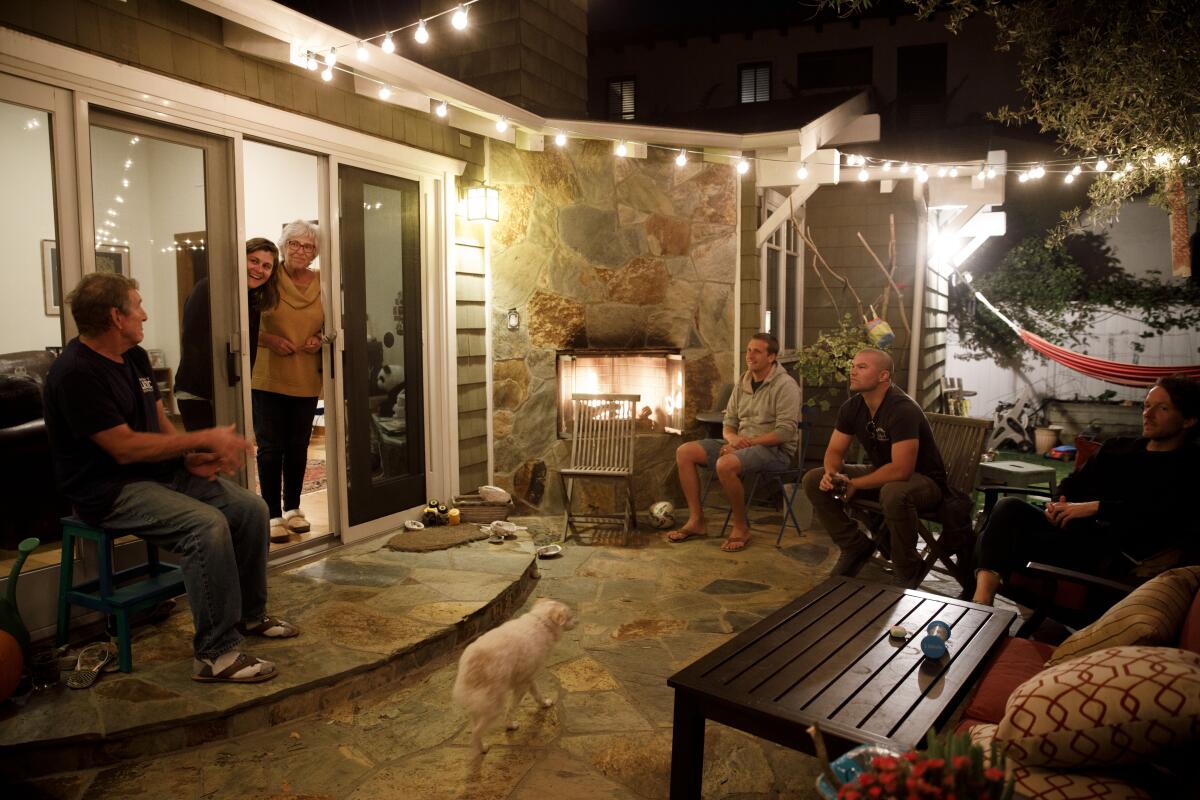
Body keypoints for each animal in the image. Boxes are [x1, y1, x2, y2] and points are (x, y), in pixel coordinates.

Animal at [451, 597, 578, 753]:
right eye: (570, 616)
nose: (578, 621)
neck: (542, 622)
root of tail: (472, 664)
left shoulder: (529, 677)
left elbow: (537, 693)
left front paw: (544, 704)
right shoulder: (522, 685)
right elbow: (511, 709)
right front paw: (510, 725)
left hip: (479, 705)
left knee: (474, 725)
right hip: (495, 706)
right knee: (476, 731)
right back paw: (482, 749)